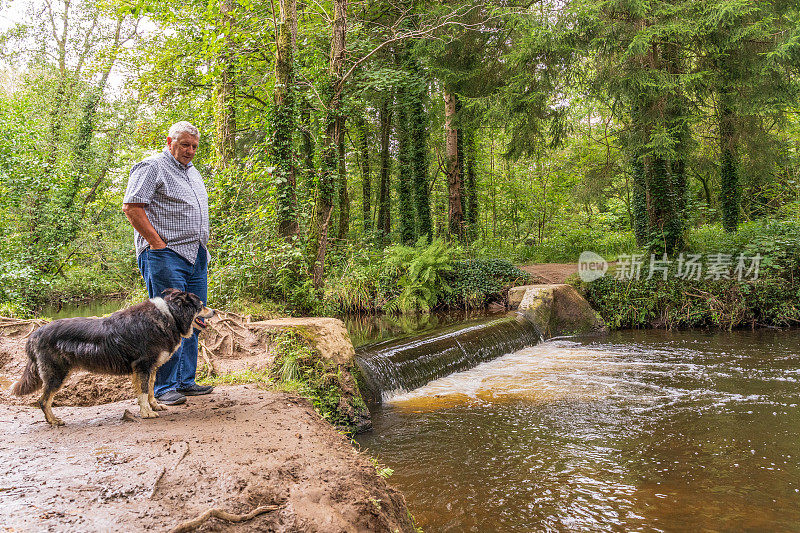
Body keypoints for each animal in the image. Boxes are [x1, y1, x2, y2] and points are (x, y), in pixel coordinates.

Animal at [11, 288, 216, 426]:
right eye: (201, 305)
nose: (214, 311)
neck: (171, 315)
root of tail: (35, 335)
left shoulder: (150, 368)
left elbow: (150, 390)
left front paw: (154, 406)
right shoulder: (142, 366)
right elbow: (143, 391)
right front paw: (146, 413)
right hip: (56, 374)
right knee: (43, 400)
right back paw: (54, 421)